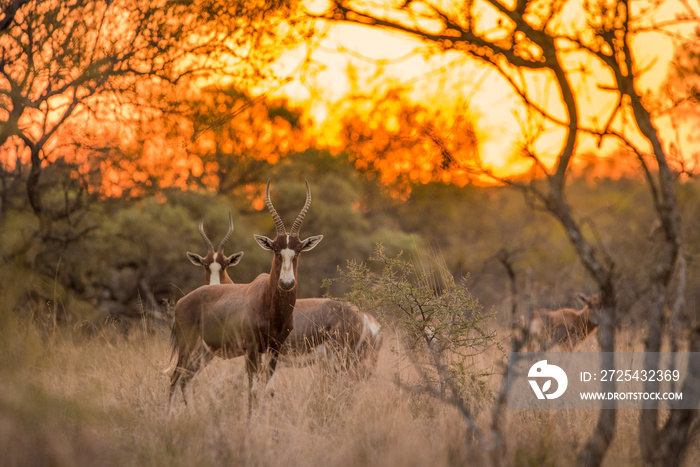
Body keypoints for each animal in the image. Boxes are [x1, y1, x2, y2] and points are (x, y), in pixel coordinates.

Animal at [168, 179, 324, 414]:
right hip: (188, 346)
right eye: (276, 249)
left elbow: (269, 391)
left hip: (204, 352)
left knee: (185, 379)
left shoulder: (274, 349)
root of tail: (182, 301)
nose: (287, 283)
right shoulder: (251, 350)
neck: (267, 302)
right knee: (174, 378)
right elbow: (252, 391)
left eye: (297, 251)